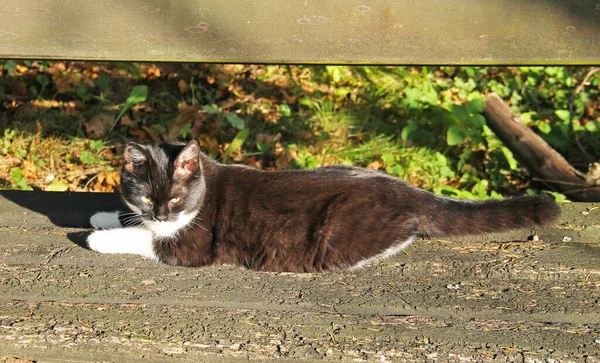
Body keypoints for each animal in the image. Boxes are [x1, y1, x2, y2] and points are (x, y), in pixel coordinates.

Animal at [86, 141, 560, 272]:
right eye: (147, 197)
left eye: (175, 199)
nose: (162, 214)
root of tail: (409, 189)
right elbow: (135, 223)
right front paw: (104, 214)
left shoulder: (192, 244)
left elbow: (146, 239)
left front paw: (97, 236)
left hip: (341, 230)